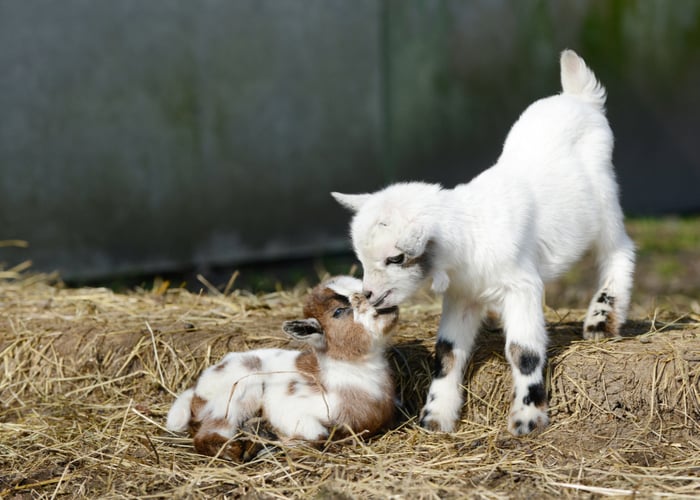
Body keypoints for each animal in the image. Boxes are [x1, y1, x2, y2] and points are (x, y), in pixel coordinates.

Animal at [163, 278, 394, 460]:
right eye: (338, 311)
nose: (381, 302)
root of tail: (196, 391)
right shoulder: (286, 406)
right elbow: (317, 433)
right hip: (238, 394)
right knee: (205, 435)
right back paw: (237, 451)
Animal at [332, 48, 636, 436]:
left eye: (396, 258)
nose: (369, 295)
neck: (469, 232)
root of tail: (578, 97)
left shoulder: (522, 287)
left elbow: (524, 351)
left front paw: (527, 417)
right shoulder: (462, 295)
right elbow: (446, 353)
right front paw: (436, 416)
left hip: (605, 203)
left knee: (620, 250)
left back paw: (601, 319)